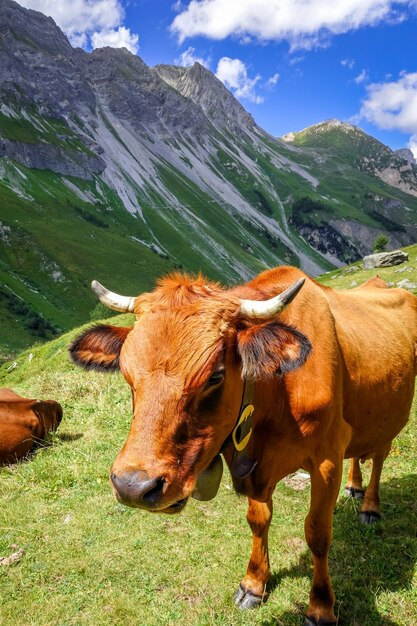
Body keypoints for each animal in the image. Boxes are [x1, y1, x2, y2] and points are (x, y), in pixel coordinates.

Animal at [69, 268, 416, 624]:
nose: (133, 486)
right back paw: (354, 486)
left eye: (215, 376)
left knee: (379, 457)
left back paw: (370, 506)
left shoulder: (327, 457)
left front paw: (320, 606)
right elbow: (258, 519)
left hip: (394, 416)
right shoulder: (252, 465)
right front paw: (253, 583)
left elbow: (318, 532)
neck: (276, 392)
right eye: (127, 374)